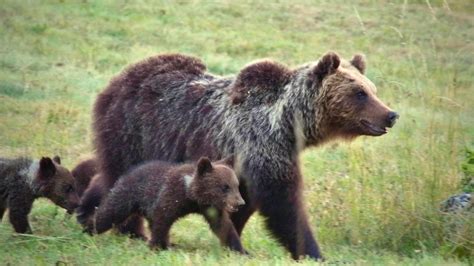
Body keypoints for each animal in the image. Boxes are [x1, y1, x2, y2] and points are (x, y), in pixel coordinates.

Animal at [89, 157, 246, 250]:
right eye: (224, 187)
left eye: (236, 185)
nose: (240, 202)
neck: (190, 194)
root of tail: (127, 173)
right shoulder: (170, 196)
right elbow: (162, 221)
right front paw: (157, 246)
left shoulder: (209, 207)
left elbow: (223, 226)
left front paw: (240, 249)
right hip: (127, 196)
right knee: (109, 213)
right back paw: (88, 229)